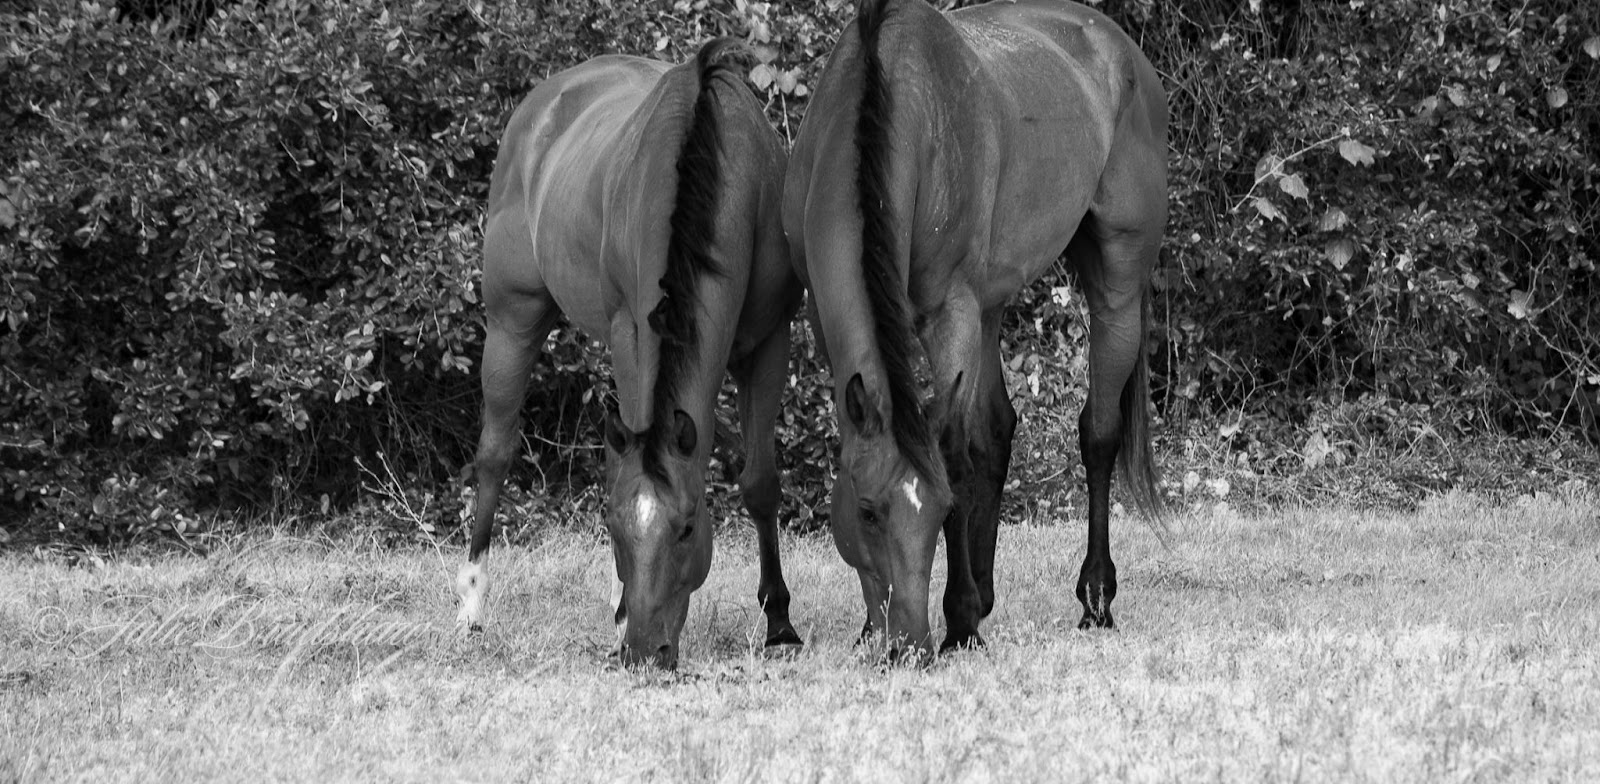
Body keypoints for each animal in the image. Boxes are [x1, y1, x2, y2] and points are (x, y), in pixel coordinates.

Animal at [460, 39, 812, 672]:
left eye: (689, 527)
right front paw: (623, 609)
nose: (646, 651)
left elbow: (760, 483)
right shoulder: (631, 333)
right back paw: (473, 607)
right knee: (495, 455)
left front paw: (780, 625)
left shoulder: (770, 342)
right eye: (614, 527)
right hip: (511, 320)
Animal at [784, 0, 1171, 659]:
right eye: (867, 511)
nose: (908, 643)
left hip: (1114, 288)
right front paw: (875, 626)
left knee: (1098, 433)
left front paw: (960, 621)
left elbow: (956, 455)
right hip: (990, 306)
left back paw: (1094, 597)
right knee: (997, 430)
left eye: (941, 511)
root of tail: (1124, 51)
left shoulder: (951, 311)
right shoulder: (826, 312)